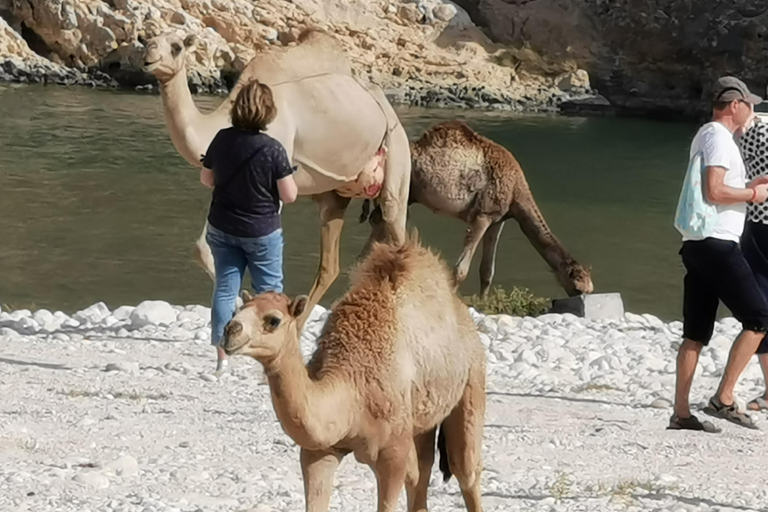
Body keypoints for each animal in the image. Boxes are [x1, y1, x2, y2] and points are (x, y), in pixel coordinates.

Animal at [141, 29, 412, 324]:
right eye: (148, 41)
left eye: (176, 47)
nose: (149, 56)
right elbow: (202, 248)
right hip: (335, 195)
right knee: (333, 262)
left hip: (398, 153)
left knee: (395, 226)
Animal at [219, 232, 488, 512]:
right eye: (237, 311)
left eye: (273, 320)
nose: (230, 330)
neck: (352, 391)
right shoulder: (319, 451)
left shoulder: (392, 453)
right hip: (422, 417)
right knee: (422, 473)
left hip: (472, 379)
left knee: (464, 469)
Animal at [404, 120, 596, 296]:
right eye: (577, 289)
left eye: (589, 290)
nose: (582, 300)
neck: (516, 192)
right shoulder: (483, 214)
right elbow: (461, 270)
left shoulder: (497, 220)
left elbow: (487, 272)